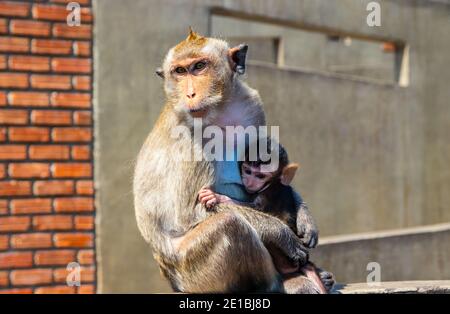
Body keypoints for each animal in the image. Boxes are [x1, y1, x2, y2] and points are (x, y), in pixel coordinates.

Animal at [200, 139, 334, 294]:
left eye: (260, 176)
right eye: (248, 171)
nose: (249, 181)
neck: (274, 183)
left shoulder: (268, 193)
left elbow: (254, 207)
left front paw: (216, 197)